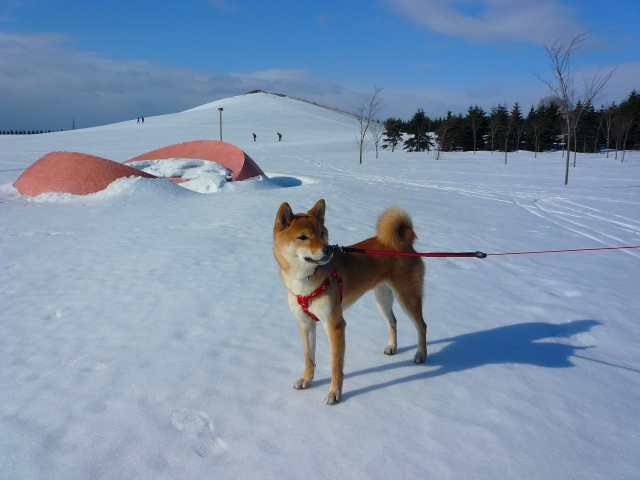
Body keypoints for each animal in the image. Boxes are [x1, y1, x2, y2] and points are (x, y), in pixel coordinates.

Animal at [274, 199, 428, 404]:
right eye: (303, 237)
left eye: (322, 234)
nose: (328, 249)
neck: (305, 280)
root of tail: (404, 242)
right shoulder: (306, 324)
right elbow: (309, 358)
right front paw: (307, 379)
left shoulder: (335, 325)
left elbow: (336, 366)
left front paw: (334, 393)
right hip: (382, 299)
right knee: (393, 321)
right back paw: (392, 347)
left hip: (407, 298)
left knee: (422, 326)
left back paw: (421, 354)